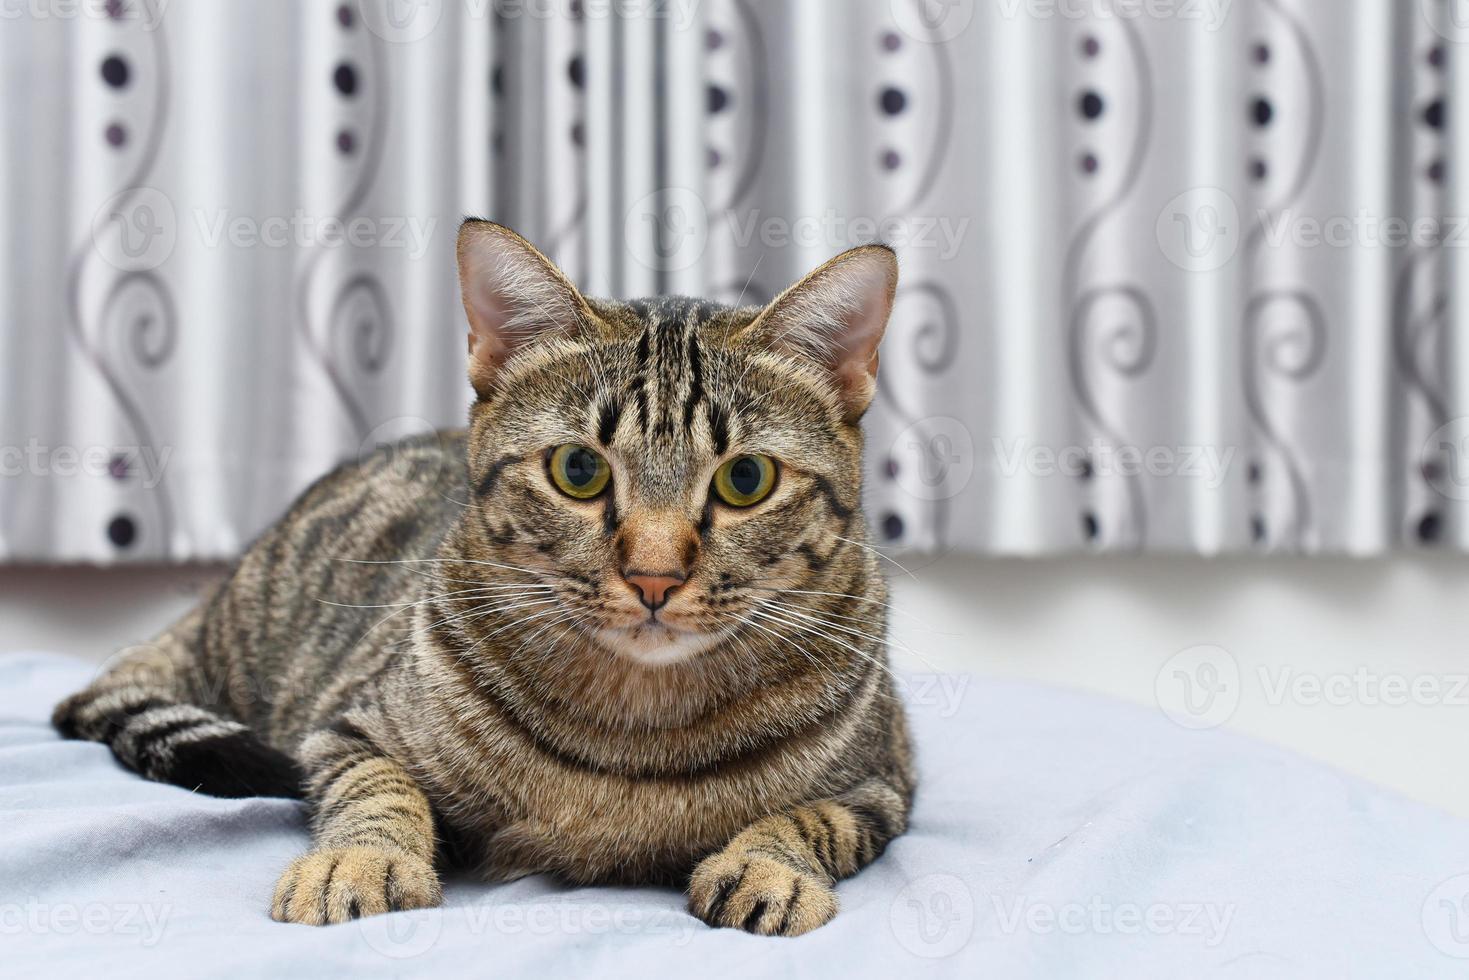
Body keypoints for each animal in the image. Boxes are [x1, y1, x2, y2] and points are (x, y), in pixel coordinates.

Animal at [51, 220, 910, 934]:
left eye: (746, 480)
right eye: (577, 470)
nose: (653, 577)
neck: (631, 734)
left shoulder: (882, 783)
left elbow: (809, 820)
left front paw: (766, 866)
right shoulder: (346, 727)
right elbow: (376, 790)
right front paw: (358, 859)